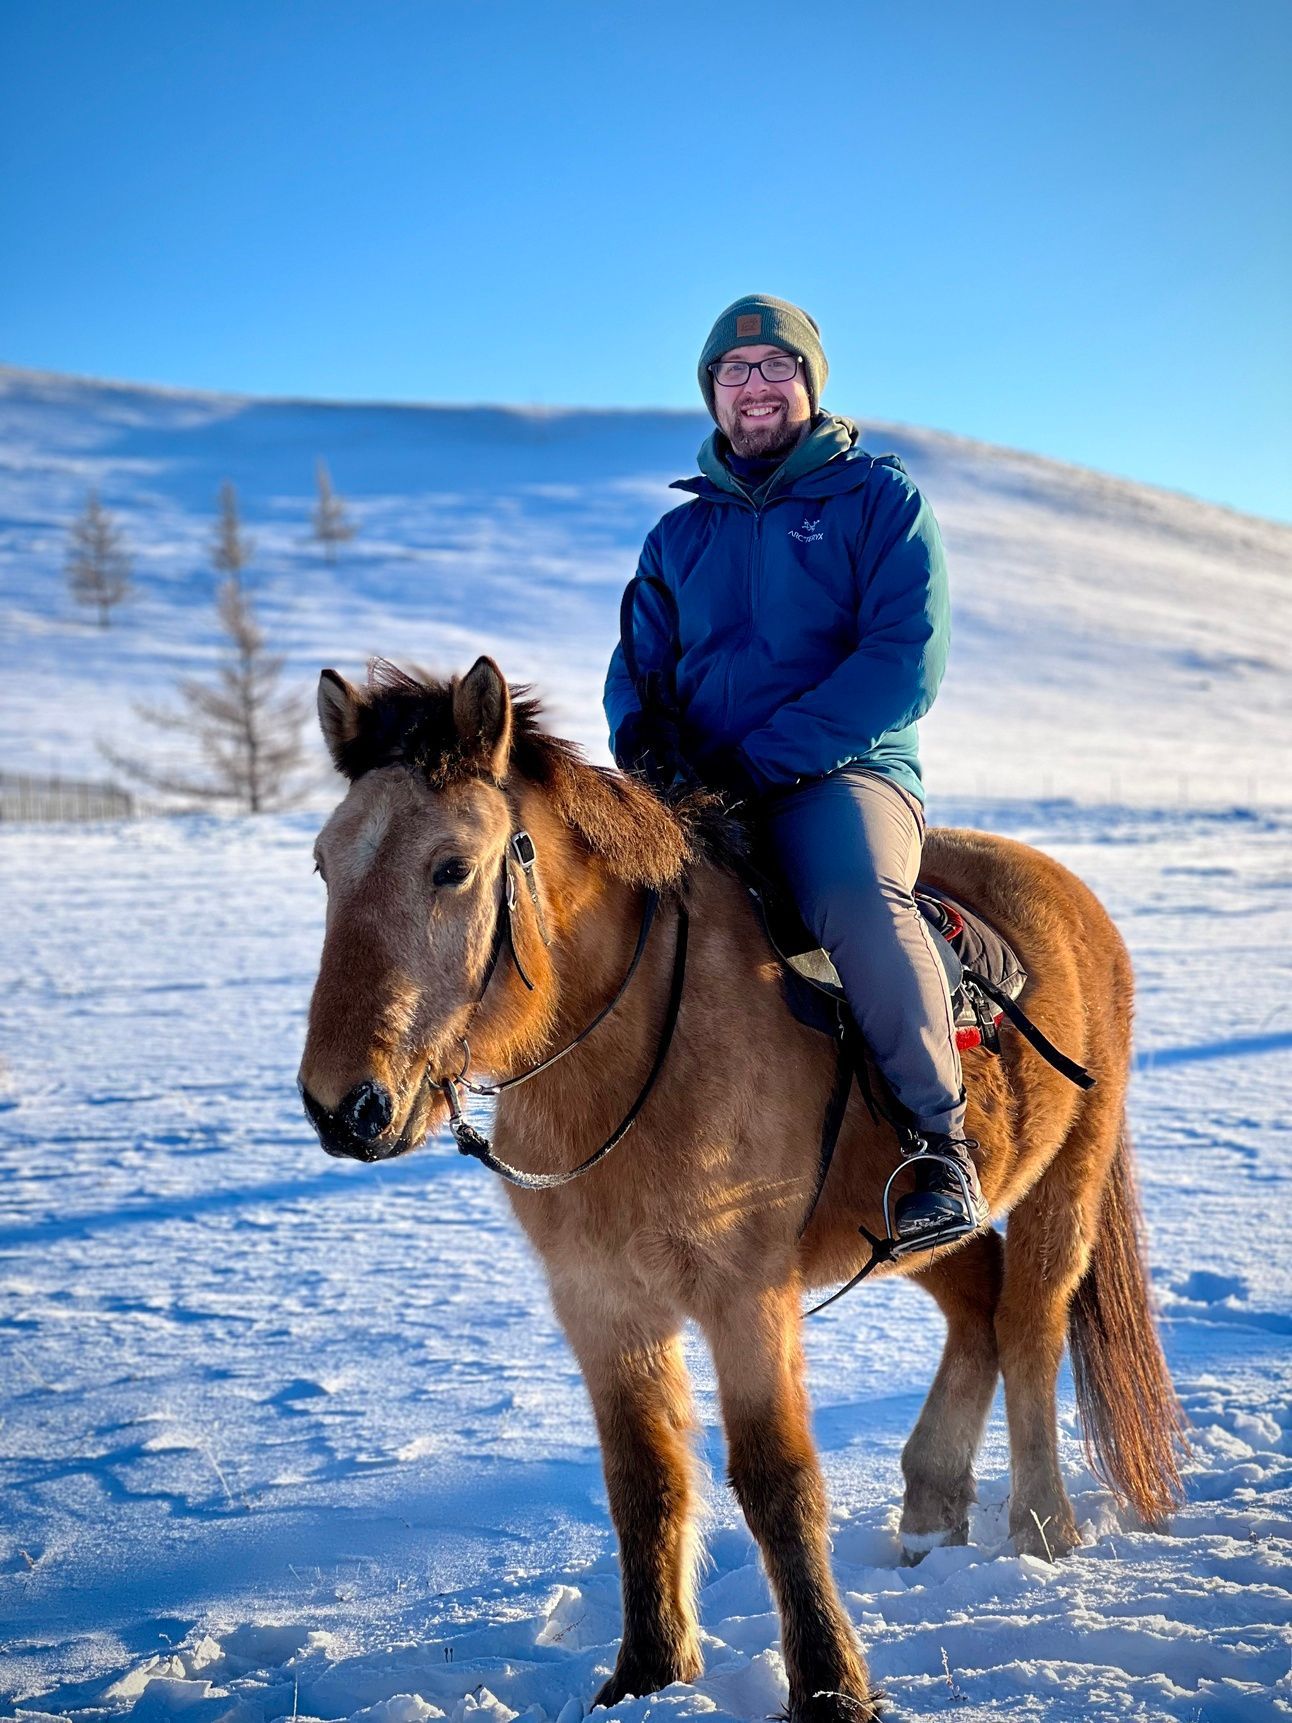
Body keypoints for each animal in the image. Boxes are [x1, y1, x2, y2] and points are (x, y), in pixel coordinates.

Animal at [298, 654, 1184, 1723]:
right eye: (325, 865)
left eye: (451, 867)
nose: (343, 1106)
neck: (639, 1039)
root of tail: (1069, 894)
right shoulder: (603, 1303)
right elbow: (644, 1481)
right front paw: (646, 1671)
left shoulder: (744, 1293)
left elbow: (776, 1478)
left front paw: (831, 1685)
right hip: (913, 1229)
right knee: (977, 1306)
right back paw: (930, 1512)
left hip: (1069, 1181)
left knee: (1030, 1326)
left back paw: (1043, 1527)